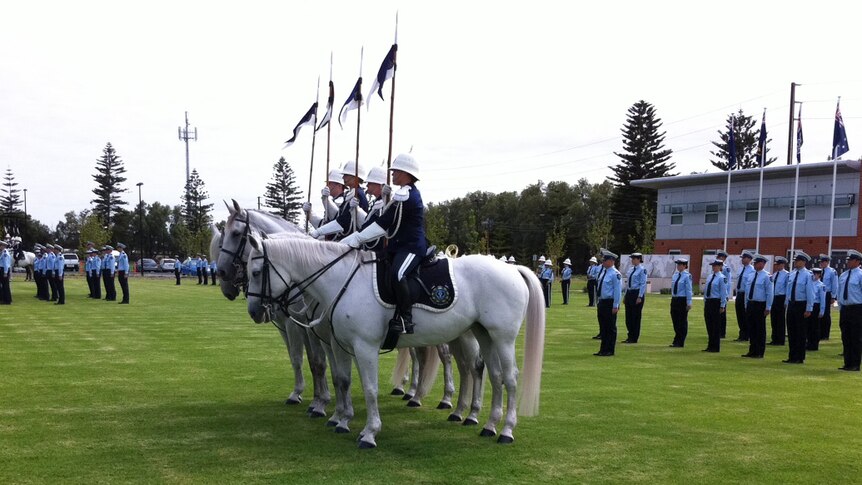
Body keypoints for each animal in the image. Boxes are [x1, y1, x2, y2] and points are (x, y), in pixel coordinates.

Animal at [246, 234, 548, 446]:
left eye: (256, 272)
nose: (254, 311)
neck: (340, 280)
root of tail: (512, 269)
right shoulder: (340, 346)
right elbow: (342, 380)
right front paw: (341, 420)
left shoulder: (364, 347)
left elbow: (369, 388)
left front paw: (369, 433)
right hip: (483, 334)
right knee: (493, 376)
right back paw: (487, 424)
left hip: (502, 337)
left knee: (508, 378)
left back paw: (505, 430)